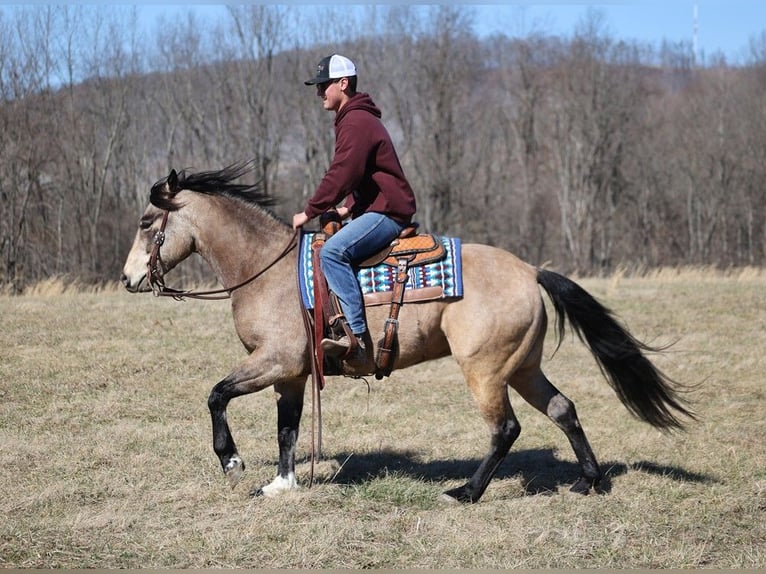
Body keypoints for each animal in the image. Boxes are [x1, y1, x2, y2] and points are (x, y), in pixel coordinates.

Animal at [118, 162, 696, 504]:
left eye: (147, 221)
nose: (127, 278)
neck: (268, 269)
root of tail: (531, 271)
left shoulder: (275, 361)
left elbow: (216, 394)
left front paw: (232, 460)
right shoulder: (292, 373)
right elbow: (287, 428)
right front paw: (281, 483)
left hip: (485, 371)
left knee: (506, 429)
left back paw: (466, 492)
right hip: (524, 366)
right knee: (563, 409)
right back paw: (588, 480)